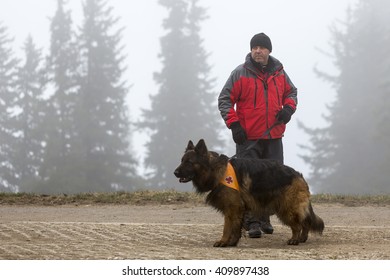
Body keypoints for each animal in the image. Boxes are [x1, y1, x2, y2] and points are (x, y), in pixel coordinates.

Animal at [174, 139, 322, 246]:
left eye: (189, 162)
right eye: (182, 161)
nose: (175, 172)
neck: (216, 170)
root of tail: (298, 175)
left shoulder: (232, 208)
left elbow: (227, 227)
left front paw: (223, 241)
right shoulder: (236, 209)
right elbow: (235, 228)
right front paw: (232, 243)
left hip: (286, 208)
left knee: (297, 225)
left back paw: (295, 240)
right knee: (305, 222)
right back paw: (302, 238)